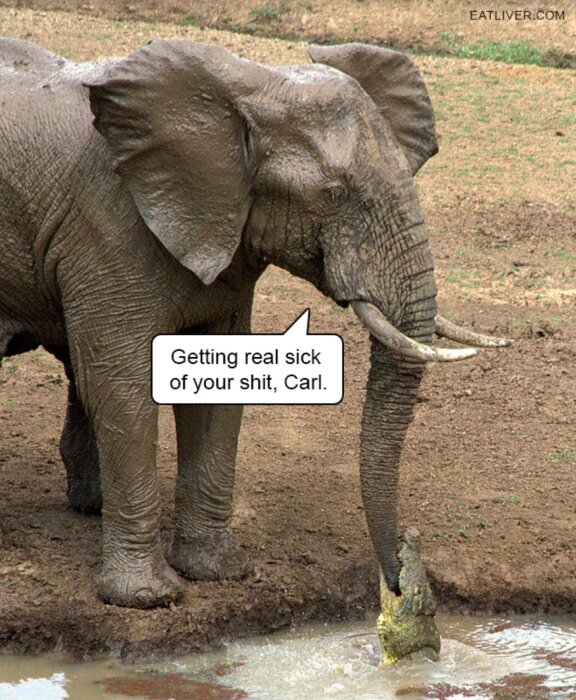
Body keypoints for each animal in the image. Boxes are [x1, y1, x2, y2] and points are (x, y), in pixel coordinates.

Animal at [0, 37, 510, 617]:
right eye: (333, 194)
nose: (398, 583)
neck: (252, 85)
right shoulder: (107, 223)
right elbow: (121, 386)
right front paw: (147, 599)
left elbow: (215, 382)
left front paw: (217, 572)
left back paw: (92, 505)